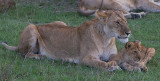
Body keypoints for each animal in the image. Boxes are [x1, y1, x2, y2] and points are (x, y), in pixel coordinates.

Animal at [1, 10, 131, 71]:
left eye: (125, 21)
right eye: (117, 22)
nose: (129, 32)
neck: (106, 39)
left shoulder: (113, 54)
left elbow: (121, 59)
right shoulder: (85, 58)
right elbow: (100, 63)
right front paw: (112, 66)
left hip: (61, 22)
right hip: (31, 26)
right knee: (24, 54)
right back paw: (41, 56)